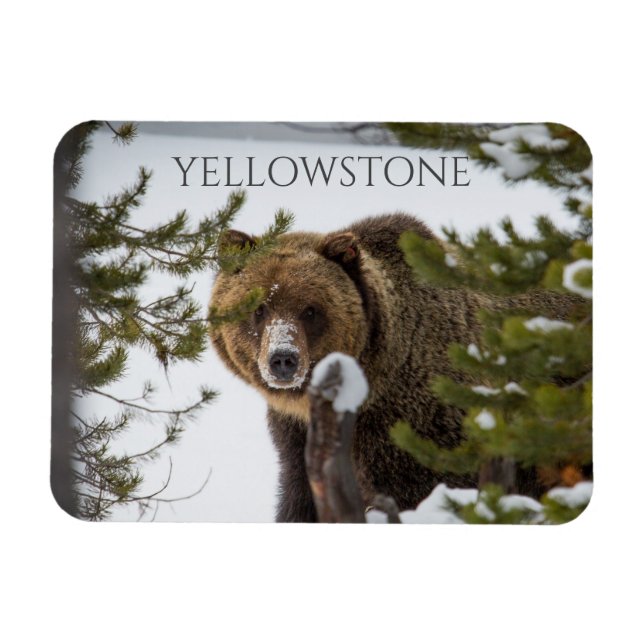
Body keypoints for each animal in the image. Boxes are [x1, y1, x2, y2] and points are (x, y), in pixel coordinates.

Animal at [209, 213, 579, 522]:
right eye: (258, 308)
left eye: (310, 310)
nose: (283, 358)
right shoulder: (297, 437)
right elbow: (299, 500)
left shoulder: (416, 428)